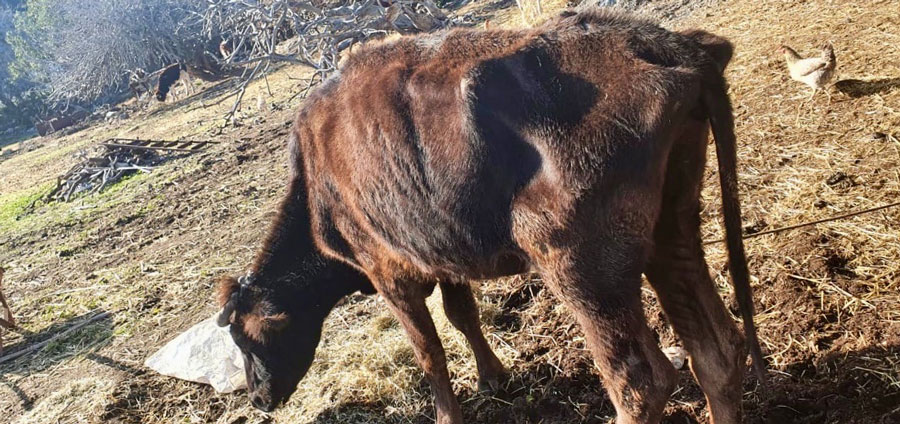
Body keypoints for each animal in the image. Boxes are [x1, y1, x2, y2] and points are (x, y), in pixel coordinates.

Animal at [216, 9, 765, 424]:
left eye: (245, 337)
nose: (258, 399)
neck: (315, 184)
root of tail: (665, 45)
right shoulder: (441, 250)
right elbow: (462, 315)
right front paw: (492, 375)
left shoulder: (388, 271)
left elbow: (429, 352)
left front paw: (448, 415)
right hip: (672, 226)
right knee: (716, 352)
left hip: (580, 267)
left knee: (641, 384)